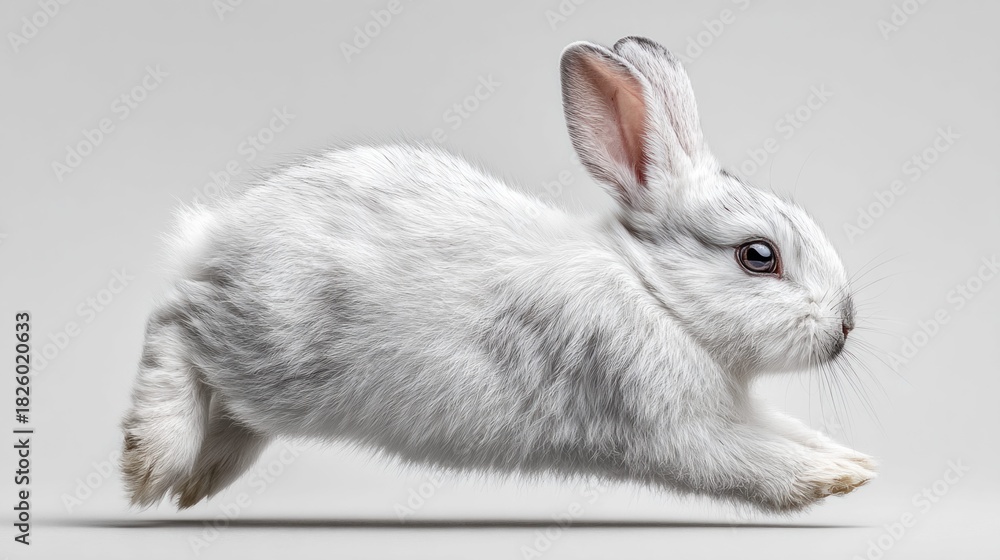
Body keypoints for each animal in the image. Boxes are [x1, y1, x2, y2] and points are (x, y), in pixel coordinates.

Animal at [120, 35, 876, 513]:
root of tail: (219, 237)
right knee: (174, 322)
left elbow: (785, 430)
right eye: (758, 256)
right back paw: (153, 460)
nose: (845, 326)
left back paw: (201, 478)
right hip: (272, 349)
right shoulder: (674, 427)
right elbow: (756, 461)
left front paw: (856, 460)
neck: (658, 297)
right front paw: (837, 478)